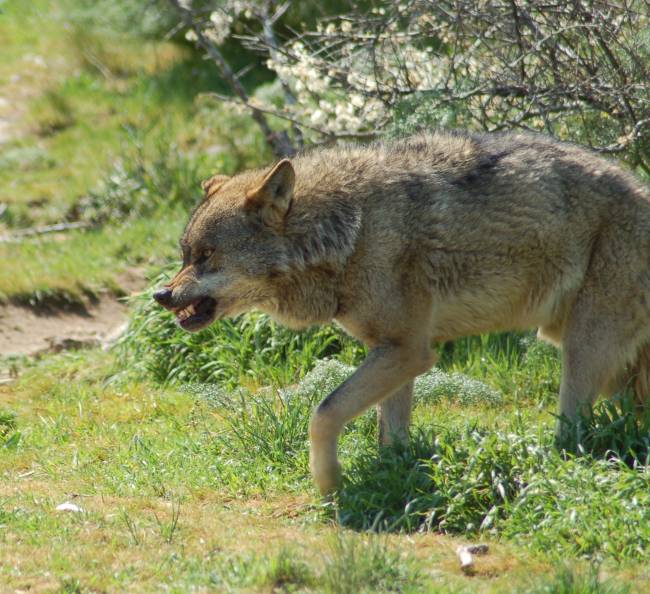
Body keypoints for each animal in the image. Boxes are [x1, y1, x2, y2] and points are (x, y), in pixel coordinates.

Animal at [154, 130, 650, 495]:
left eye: (207, 255)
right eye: (184, 254)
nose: (160, 294)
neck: (351, 232)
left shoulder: (409, 351)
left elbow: (323, 412)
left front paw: (330, 483)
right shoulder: (394, 352)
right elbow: (389, 435)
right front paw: (392, 476)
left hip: (582, 351)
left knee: (573, 438)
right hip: (606, 367)